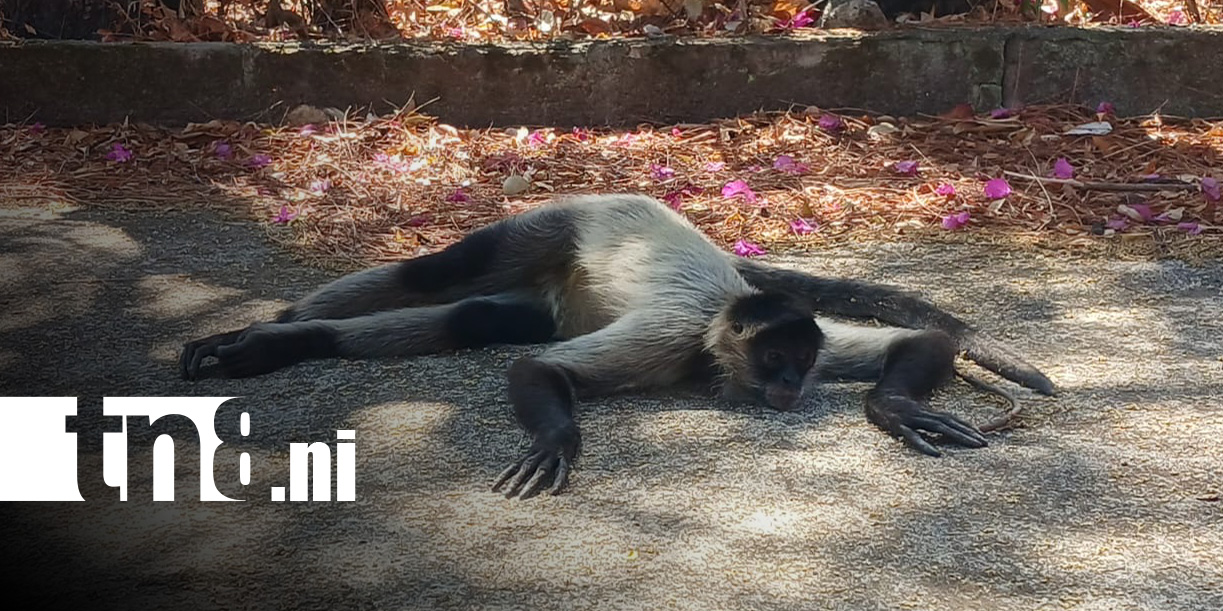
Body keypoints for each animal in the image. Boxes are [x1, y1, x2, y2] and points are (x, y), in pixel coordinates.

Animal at [180, 194, 1054, 499]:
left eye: (801, 366)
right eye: (776, 362)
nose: (788, 392)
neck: (714, 335)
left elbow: (919, 341)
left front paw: (897, 407)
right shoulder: (670, 337)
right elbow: (533, 370)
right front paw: (557, 441)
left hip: (552, 294)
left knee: (476, 317)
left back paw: (273, 334)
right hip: (551, 225)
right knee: (439, 274)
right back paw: (276, 331)